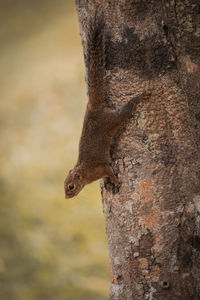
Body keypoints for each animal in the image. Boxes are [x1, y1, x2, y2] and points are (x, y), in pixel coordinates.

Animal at [64, 14, 150, 199]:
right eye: (64, 185)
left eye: (71, 186)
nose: (67, 197)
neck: (85, 172)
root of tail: (93, 106)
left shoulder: (101, 167)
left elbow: (109, 172)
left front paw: (116, 182)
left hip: (112, 120)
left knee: (127, 109)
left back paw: (139, 97)